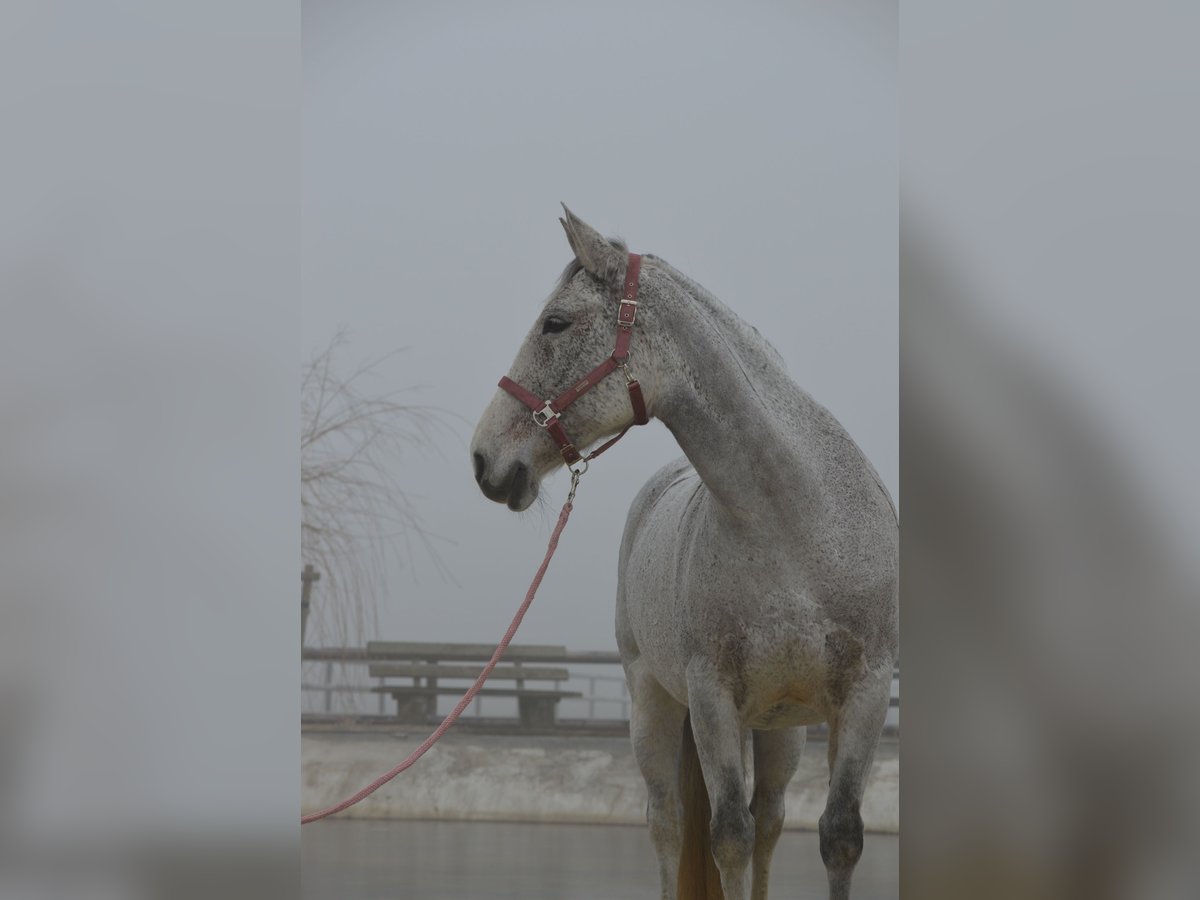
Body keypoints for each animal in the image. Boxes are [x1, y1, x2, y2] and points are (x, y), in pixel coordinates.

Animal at [470, 207, 898, 900]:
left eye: (556, 322)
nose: (483, 460)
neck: (798, 528)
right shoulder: (712, 700)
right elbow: (727, 837)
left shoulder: (864, 694)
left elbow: (837, 835)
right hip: (654, 704)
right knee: (669, 822)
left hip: (782, 730)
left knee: (770, 818)